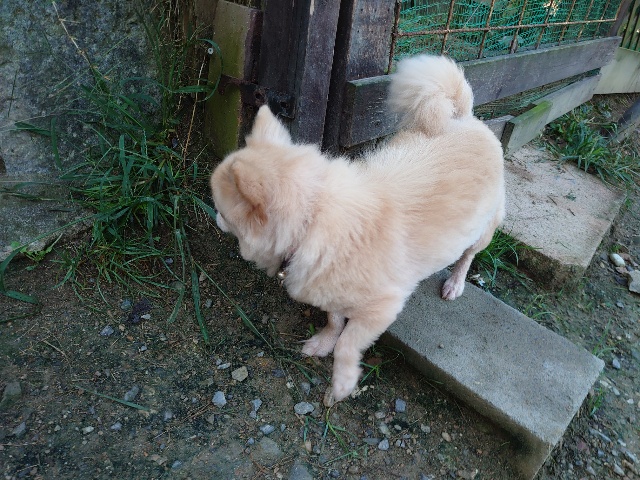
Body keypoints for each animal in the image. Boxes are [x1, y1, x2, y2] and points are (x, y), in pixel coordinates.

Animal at [210, 55, 505, 406]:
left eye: (222, 209)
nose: (214, 217)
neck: (313, 219)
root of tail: (464, 117)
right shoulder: (332, 289)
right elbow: (334, 320)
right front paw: (323, 342)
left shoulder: (382, 309)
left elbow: (348, 343)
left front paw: (342, 382)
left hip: (483, 230)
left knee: (468, 255)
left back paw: (455, 283)